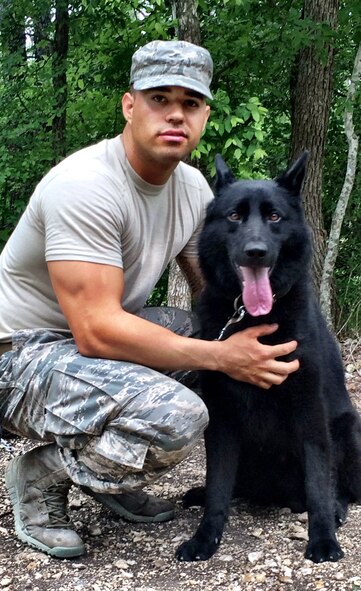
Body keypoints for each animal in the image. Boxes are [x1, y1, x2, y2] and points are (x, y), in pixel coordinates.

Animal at [176, 151, 360, 564]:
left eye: (275, 216)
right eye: (234, 216)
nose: (256, 252)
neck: (254, 317)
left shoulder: (311, 414)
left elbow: (319, 482)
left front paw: (322, 538)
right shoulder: (222, 418)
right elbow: (218, 485)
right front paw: (205, 536)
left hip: (348, 428)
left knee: (339, 487)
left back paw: (338, 509)